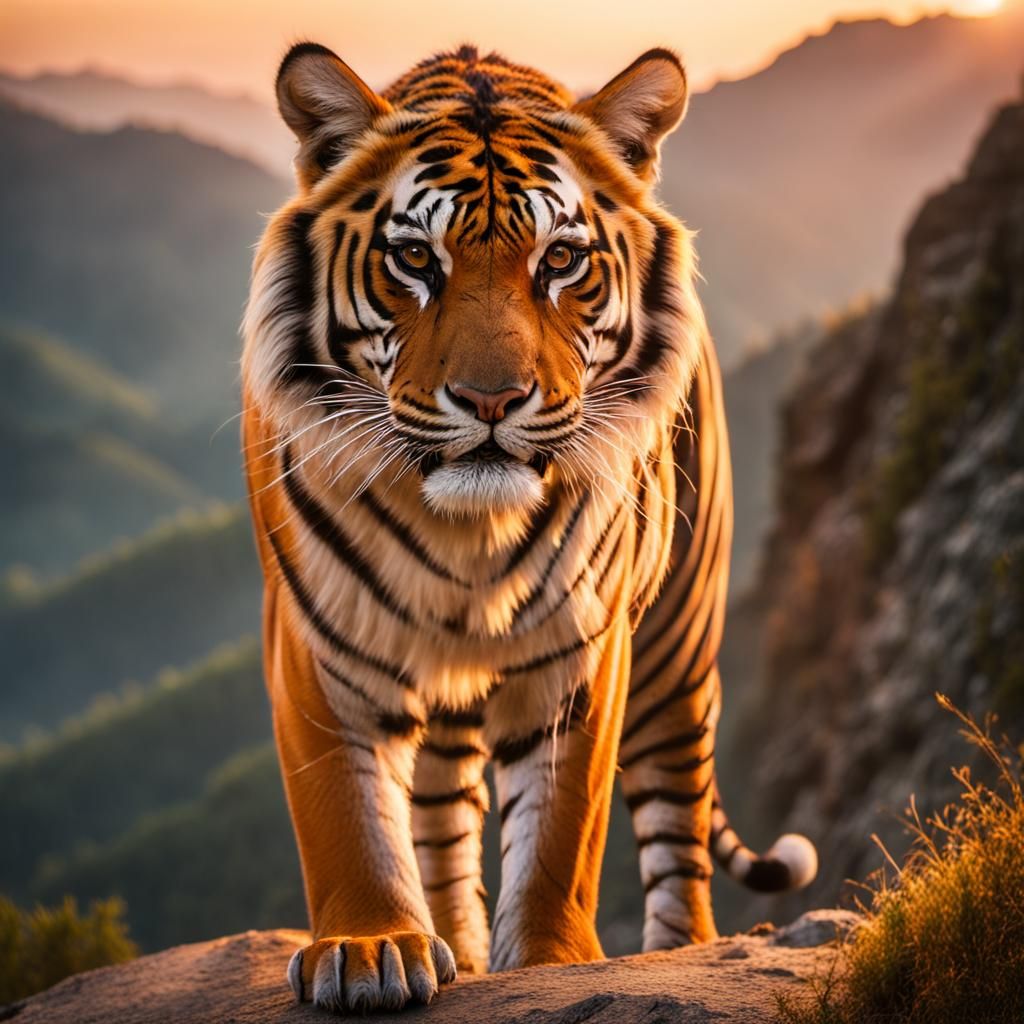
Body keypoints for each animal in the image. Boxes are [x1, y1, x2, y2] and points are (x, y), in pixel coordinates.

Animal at [241, 41, 817, 1015]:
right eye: (413, 257)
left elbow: (561, 831)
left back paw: (680, 948)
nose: (491, 400)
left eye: (561, 259)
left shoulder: (582, 647)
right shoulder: (315, 642)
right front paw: (369, 947)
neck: (463, 534)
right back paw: (458, 948)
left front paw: (552, 963)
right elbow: (344, 815)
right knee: (441, 815)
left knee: (678, 826)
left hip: (679, 650)